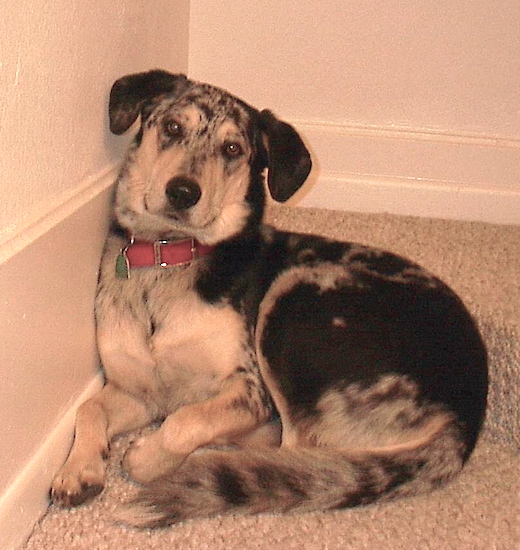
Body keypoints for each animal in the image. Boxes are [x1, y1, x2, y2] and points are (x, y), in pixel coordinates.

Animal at [48, 70, 488, 532]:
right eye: (172, 127)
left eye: (232, 149)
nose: (183, 192)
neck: (168, 258)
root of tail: (464, 419)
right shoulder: (139, 391)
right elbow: (89, 409)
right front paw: (78, 470)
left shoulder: (249, 388)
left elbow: (185, 422)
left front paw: (148, 457)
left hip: (294, 295)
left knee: (292, 457)